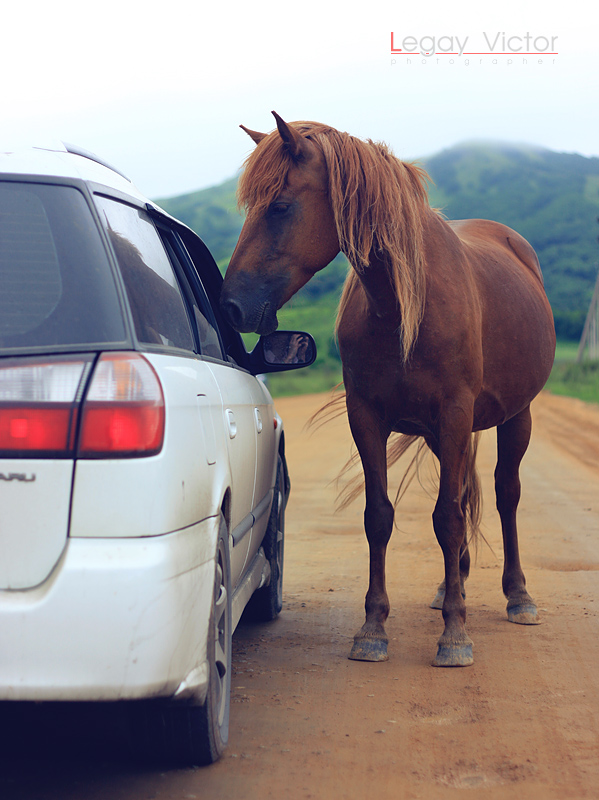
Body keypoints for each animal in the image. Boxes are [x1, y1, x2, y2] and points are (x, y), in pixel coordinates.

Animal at [220, 111, 556, 664]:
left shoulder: (455, 413)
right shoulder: (369, 416)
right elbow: (381, 515)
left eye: (281, 206)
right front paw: (373, 627)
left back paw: (517, 595)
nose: (229, 306)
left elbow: (448, 518)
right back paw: (451, 586)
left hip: (516, 415)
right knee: (464, 494)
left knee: (506, 494)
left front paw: (454, 634)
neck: (403, 305)